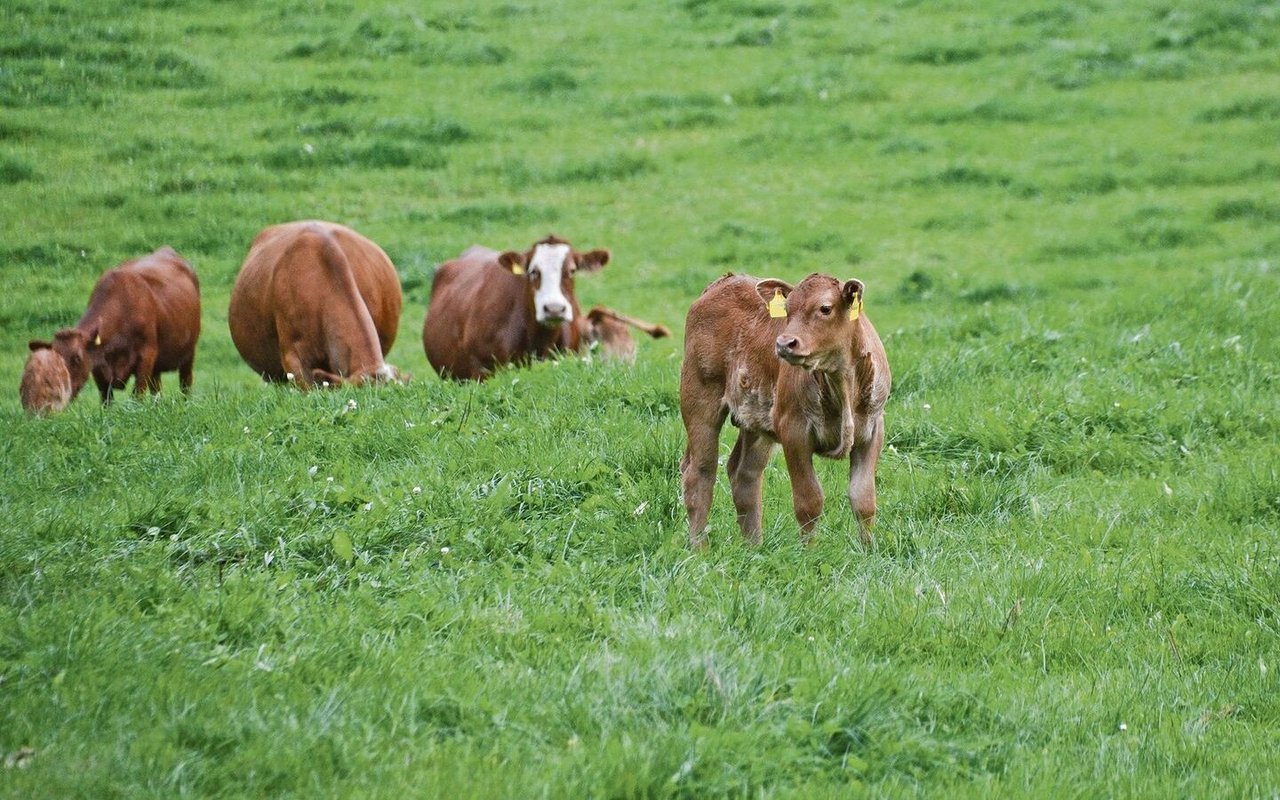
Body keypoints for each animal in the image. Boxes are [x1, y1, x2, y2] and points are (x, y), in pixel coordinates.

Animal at [26, 244, 200, 404]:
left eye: (77, 358)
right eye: (52, 361)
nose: (60, 390)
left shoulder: (147, 355)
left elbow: (137, 396)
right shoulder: (98, 366)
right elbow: (106, 400)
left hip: (188, 353)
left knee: (185, 383)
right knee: (156, 390)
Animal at [680, 271, 890, 545]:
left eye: (825, 308)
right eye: (787, 310)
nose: (784, 343)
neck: (842, 383)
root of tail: (724, 281)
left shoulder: (873, 430)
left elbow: (863, 500)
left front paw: (868, 550)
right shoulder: (793, 430)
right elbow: (809, 501)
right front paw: (810, 551)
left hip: (756, 420)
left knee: (744, 475)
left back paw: (754, 547)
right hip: (699, 400)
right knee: (700, 473)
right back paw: (699, 547)